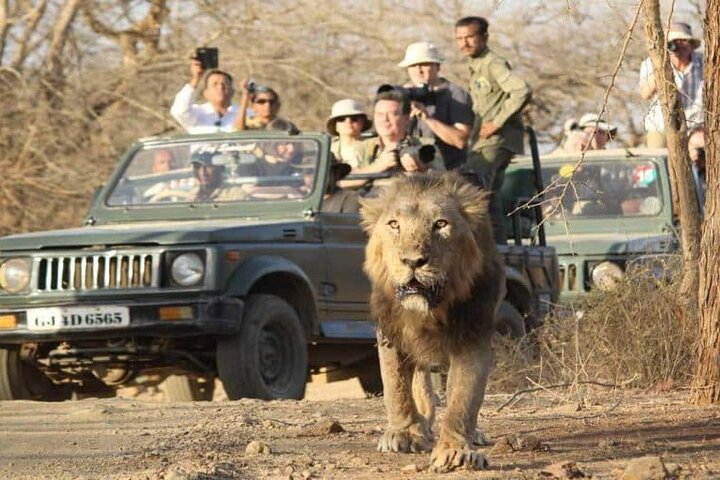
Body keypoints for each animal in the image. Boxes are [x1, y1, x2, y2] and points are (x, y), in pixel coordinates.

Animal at [359, 172, 505, 473]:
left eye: (440, 224)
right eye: (394, 225)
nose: (412, 261)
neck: (430, 312)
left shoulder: (473, 334)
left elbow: (463, 399)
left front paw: (455, 451)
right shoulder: (390, 330)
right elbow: (396, 387)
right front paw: (403, 433)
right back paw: (421, 425)